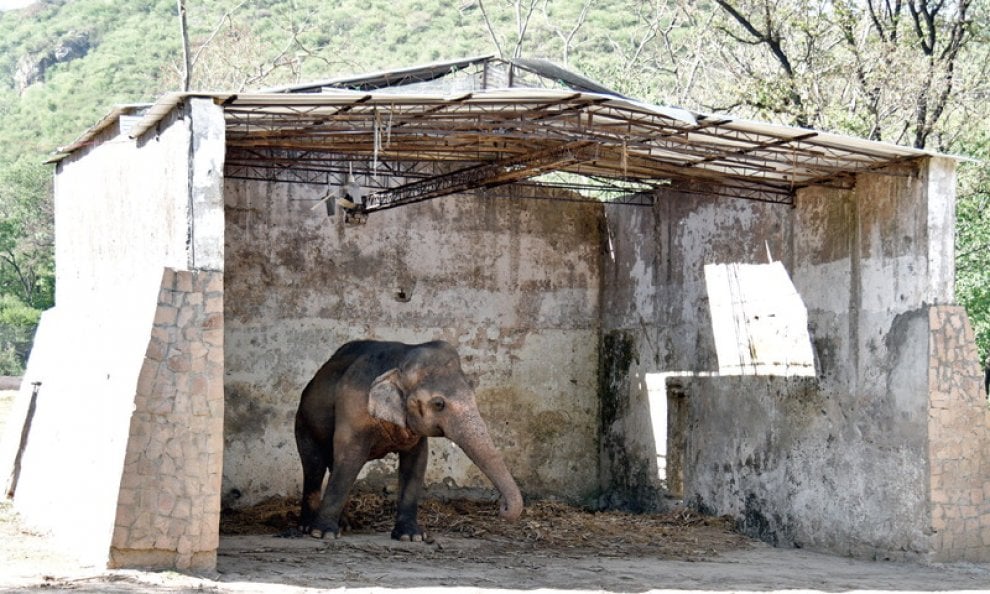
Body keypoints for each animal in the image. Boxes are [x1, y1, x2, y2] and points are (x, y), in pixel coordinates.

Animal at [294, 339, 524, 541]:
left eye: (473, 394)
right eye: (439, 404)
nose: (502, 507)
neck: (400, 363)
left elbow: (417, 461)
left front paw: (411, 536)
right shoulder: (353, 409)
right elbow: (350, 457)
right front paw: (323, 534)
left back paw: (344, 525)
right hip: (304, 421)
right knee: (314, 466)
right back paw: (308, 527)